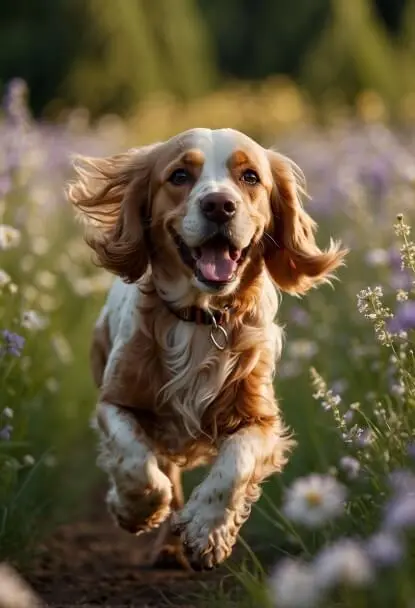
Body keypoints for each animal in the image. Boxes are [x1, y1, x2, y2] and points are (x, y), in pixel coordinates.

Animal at [67, 127, 348, 568]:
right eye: (180, 176)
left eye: (250, 177)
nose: (219, 205)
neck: (202, 317)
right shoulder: (116, 401)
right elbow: (137, 464)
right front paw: (133, 509)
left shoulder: (261, 418)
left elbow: (235, 464)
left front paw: (206, 531)